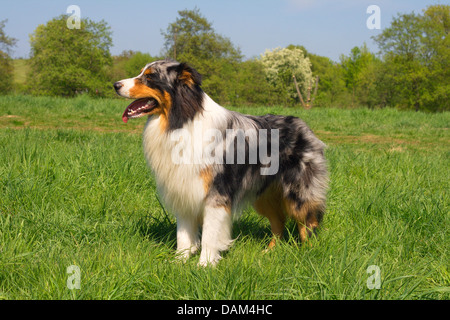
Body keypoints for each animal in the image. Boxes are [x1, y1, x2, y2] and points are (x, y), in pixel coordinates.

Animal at [113, 58, 326, 266]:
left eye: (150, 77)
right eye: (141, 73)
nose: (115, 85)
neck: (182, 120)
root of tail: (304, 125)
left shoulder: (216, 193)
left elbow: (210, 233)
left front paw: (205, 264)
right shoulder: (183, 188)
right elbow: (183, 233)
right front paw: (180, 261)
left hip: (298, 193)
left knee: (308, 222)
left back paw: (309, 254)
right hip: (264, 195)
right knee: (279, 221)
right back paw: (270, 252)